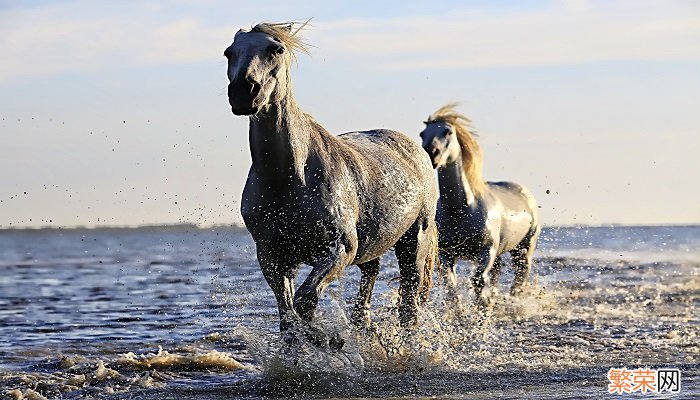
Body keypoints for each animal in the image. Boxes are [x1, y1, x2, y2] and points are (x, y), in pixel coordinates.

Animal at [224, 22, 438, 346]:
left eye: (276, 49)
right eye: (229, 52)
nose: (243, 92)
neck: (288, 179)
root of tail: (414, 149)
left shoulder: (338, 249)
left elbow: (305, 302)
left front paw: (325, 340)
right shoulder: (273, 257)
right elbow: (288, 317)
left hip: (414, 243)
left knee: (409, 307)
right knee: (370, 281)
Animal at [418, 103, 540, 306]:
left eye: (448, 132)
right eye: (422, 134)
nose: (431, 153)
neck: (460, 209)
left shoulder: (486, 251)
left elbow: (478, 281)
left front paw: (483, 305)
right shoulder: (447, 254)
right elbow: (451, 287)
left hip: (524, 248)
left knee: (520, 276)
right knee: (498, 272)